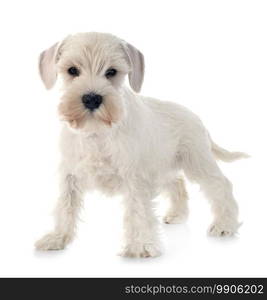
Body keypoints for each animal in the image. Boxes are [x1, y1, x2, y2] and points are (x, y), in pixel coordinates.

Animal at [34, 32, 248, 258]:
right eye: (72, 70)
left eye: (111, 72)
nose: (92, 98)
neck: (97, 132)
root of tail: (196, 118)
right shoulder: (70, 175)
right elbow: (65, 205)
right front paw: (57, 238)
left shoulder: (135, 177)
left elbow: (137, 210)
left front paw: (140, 246)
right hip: (164, 167)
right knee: (178, 183)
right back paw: (177, 214)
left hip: (198, 162)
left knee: (221, 185)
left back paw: (225, 225)